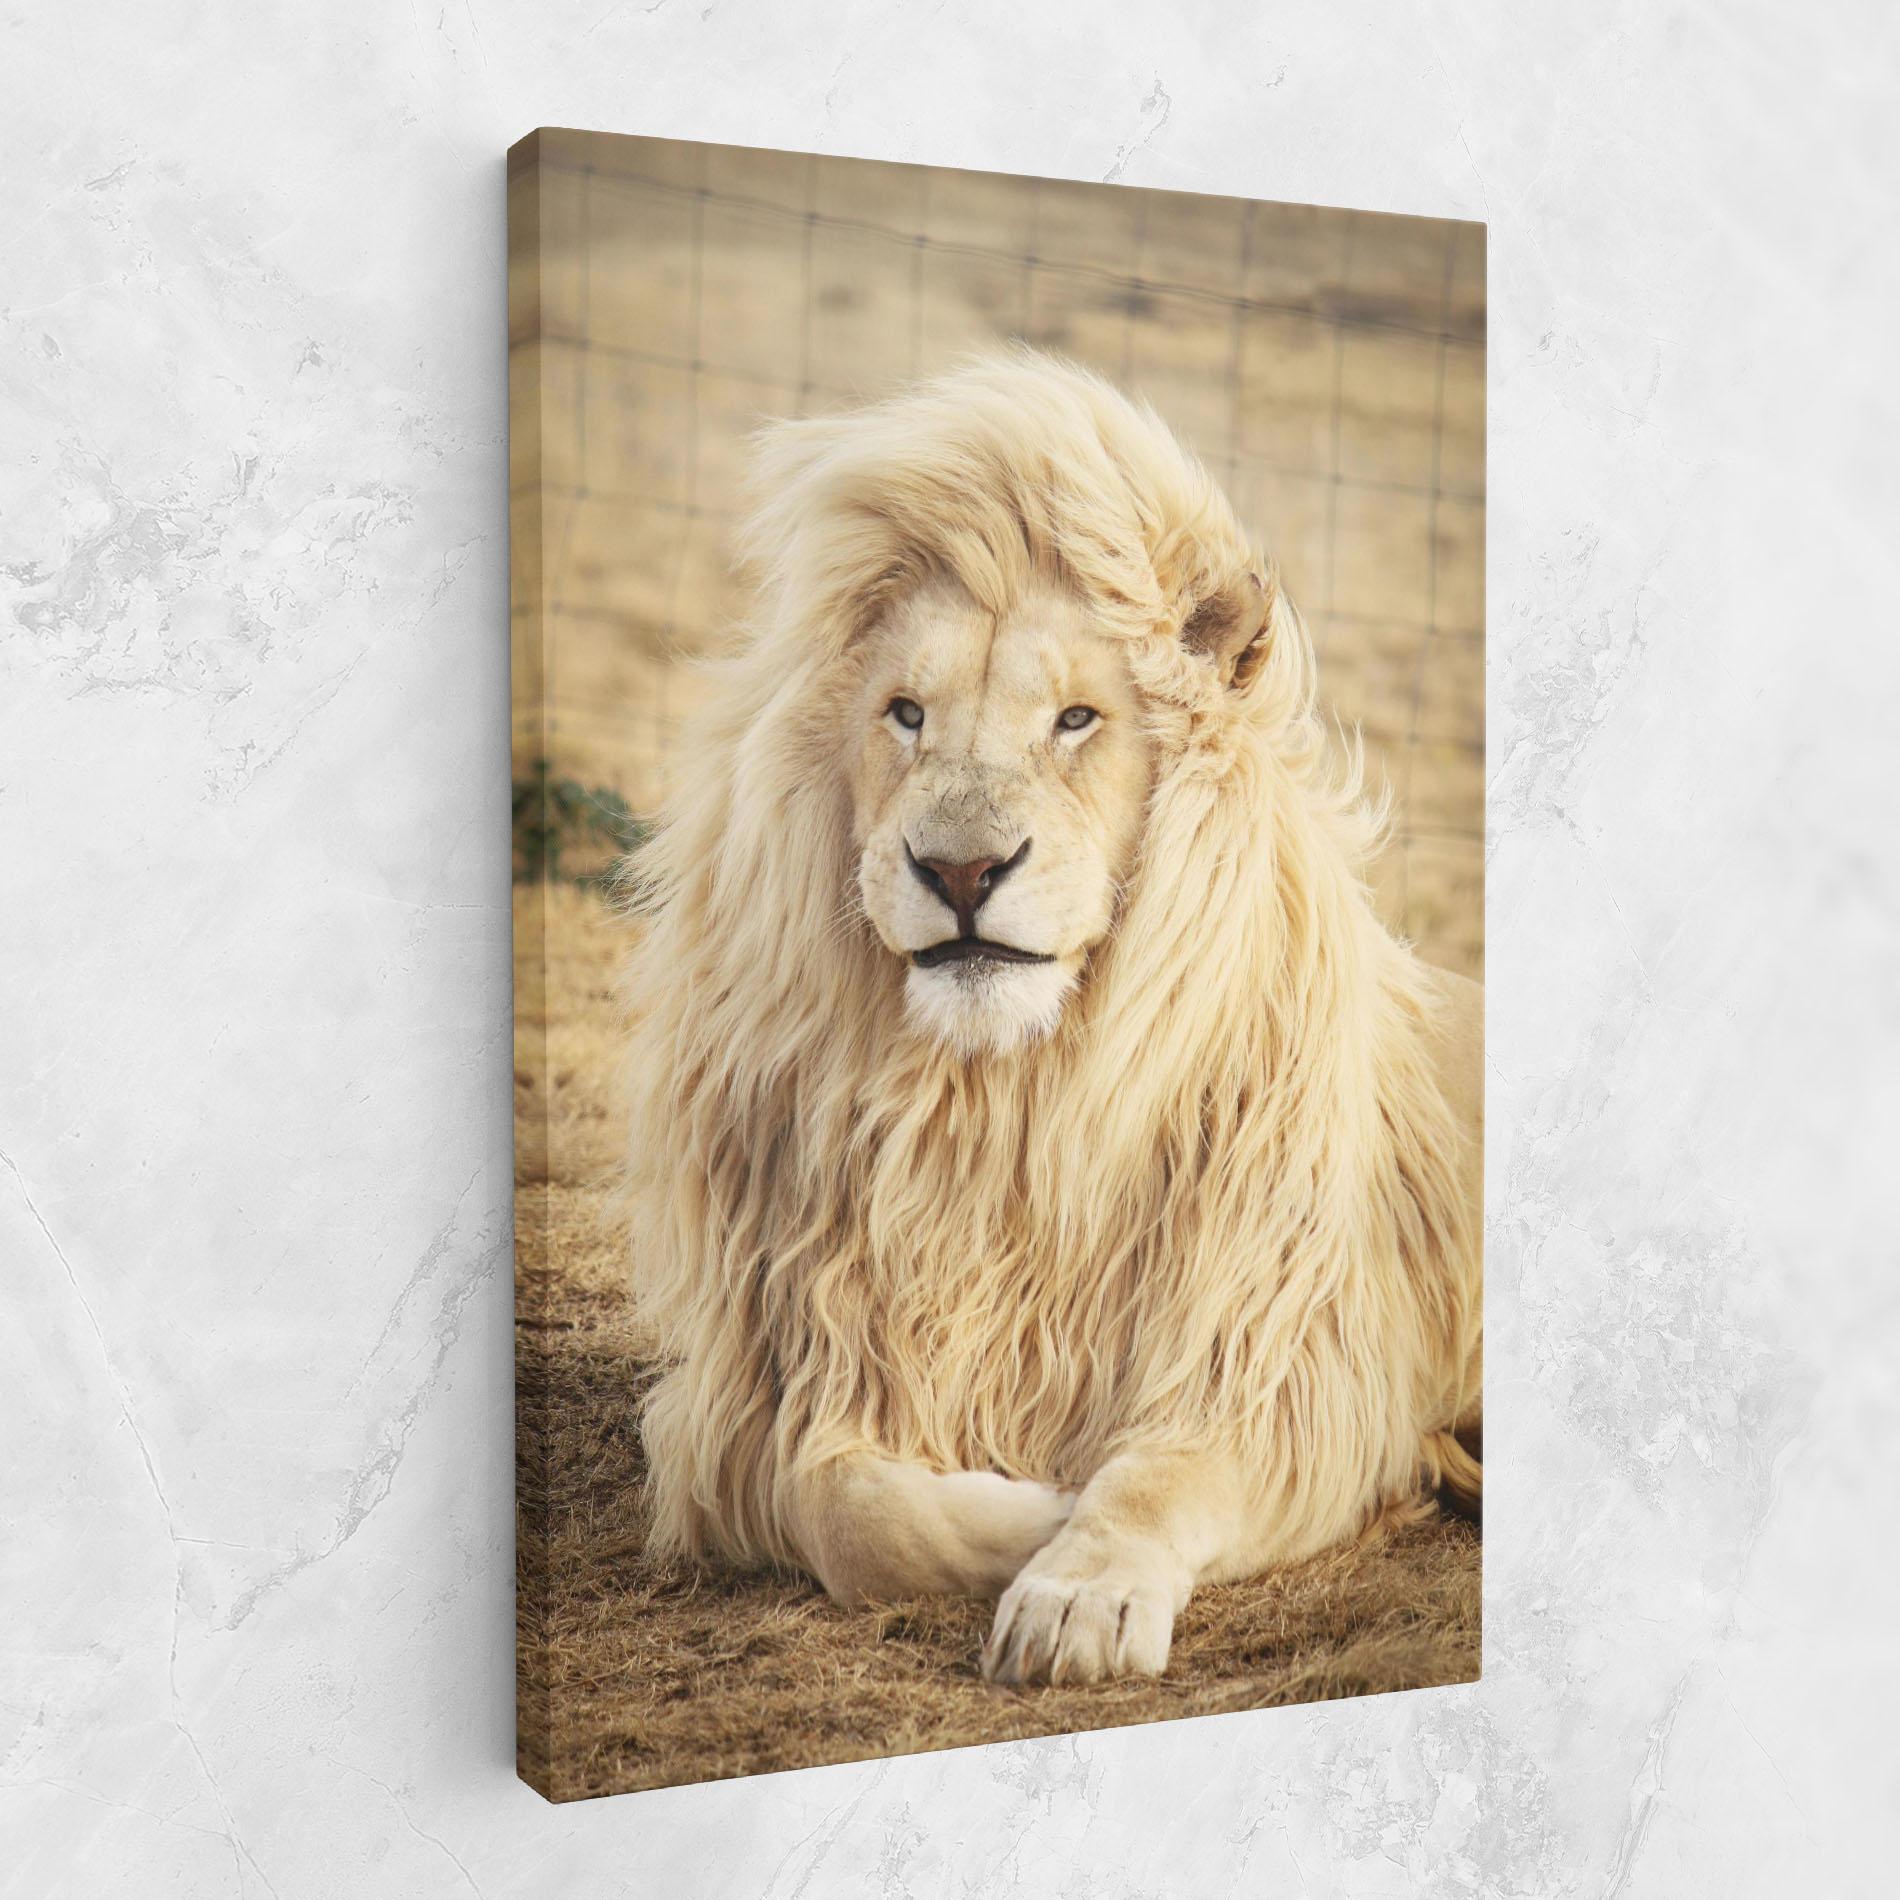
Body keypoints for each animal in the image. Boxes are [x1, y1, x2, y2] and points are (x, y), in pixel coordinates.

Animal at [622, 350, 1482, 1686]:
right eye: (906, 713)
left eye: (1076, 719)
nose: (961, 870)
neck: (1002, 1107)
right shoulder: (767, 1390)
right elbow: (847, 1507)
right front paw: (1025, 1507)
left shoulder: (1279, 1365)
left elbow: (1154, 1476)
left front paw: (1078, 1588)